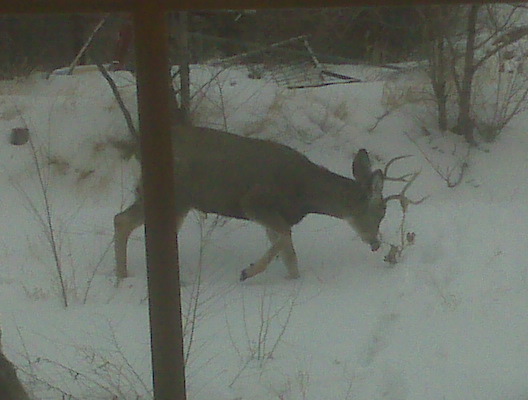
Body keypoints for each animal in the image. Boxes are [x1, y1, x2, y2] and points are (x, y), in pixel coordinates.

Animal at [113, 124, 422, 282]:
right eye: (379, 212)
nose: (375, 243)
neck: (305, 193)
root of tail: (135, 148)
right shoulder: (254, 201)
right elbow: (284, 238)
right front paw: (247, 271)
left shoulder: (272, 215)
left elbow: (289, 253)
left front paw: (292, 279)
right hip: (177, 196)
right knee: (121, 220)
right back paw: (123, 276)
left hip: (179, 202)